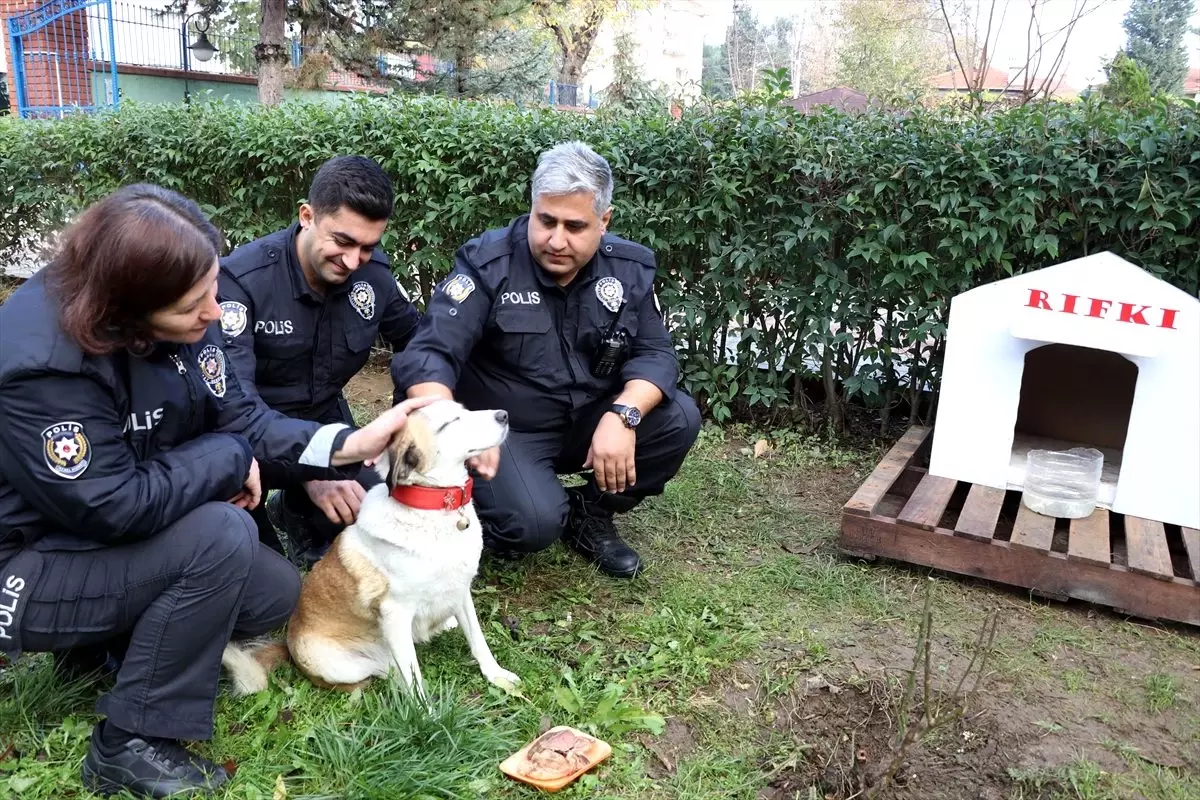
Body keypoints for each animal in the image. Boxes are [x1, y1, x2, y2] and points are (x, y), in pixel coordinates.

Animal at [224, 400, 520, 700]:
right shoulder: (395, 613)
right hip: (346, 666)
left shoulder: (460, 590)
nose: (504, 415)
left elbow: (478, 639)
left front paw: (496, 675)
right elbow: (414, 679)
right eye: (449, 423)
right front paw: (426, 711)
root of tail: (288, 646)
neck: (436, 513)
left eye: (464, 409)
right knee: (387, 674)